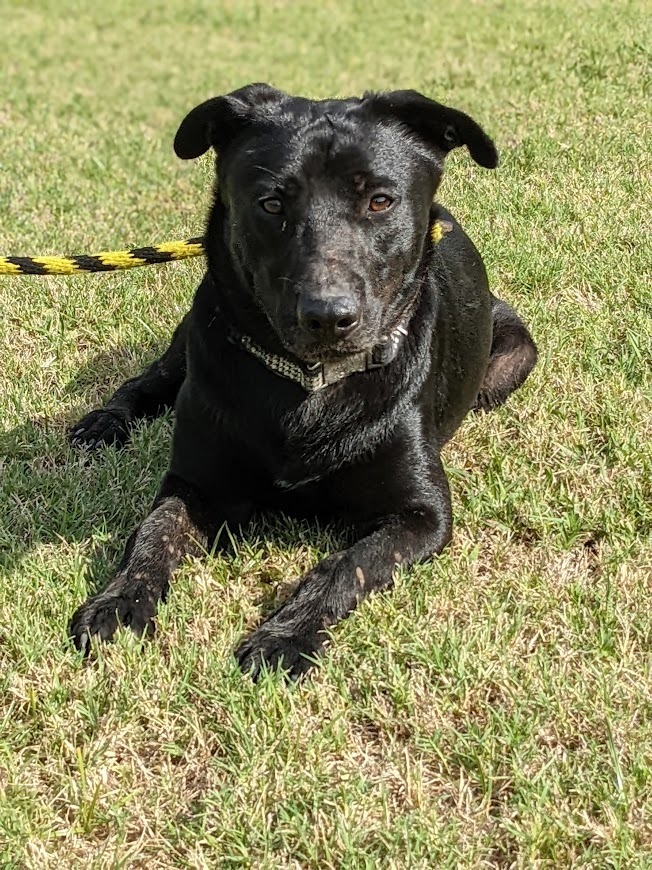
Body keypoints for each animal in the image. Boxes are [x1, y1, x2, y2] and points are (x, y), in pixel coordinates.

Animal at [66, 83, 536, 680]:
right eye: (272, 204)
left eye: (379, 201)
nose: (328, 317)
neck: (312, 388)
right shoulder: (195, 483)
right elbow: (151, 533)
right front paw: (120, 600)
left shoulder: (422, 515)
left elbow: (347, 564)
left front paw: (286, 634)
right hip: (186, 341)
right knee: (147, 382)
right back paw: (105, 422)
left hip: (513, 358)